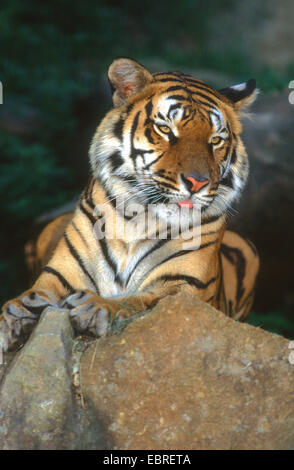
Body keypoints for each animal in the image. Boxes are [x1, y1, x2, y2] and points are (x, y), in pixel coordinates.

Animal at [0, 57, 258, 352]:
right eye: (165, 129)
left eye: (215, 140)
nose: (197, 182)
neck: (138, 219)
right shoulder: (59, 274)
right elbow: (26, 296)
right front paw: (17, 315)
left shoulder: (184, 288)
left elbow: (138, 300)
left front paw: (96, 305)